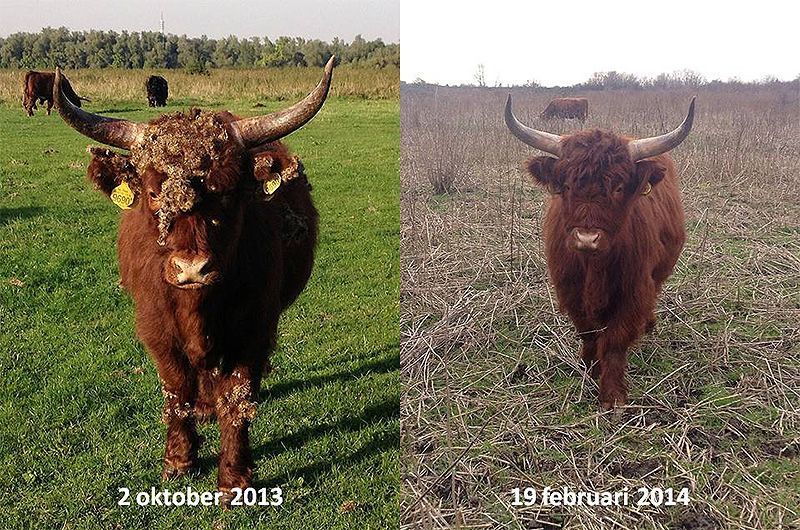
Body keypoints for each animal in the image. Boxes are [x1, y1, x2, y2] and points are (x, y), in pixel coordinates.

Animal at [53, 56, 334, 500]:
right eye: (154, 194)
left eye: (228, 193)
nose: (191, 269)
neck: (196, 309)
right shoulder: (155, 328)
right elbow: (177, 389)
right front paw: (178, 460)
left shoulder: (254, 328)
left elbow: (237, 397)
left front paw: (235, 479)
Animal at [506, 96, 692, 408]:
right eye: (566, 185)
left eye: (618, 187)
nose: (587, 238)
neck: (594, 266)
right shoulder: (570, 288)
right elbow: (588, 332)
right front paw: (590, 368)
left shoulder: (633, 290)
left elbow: (615, 341)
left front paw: (613, 395)